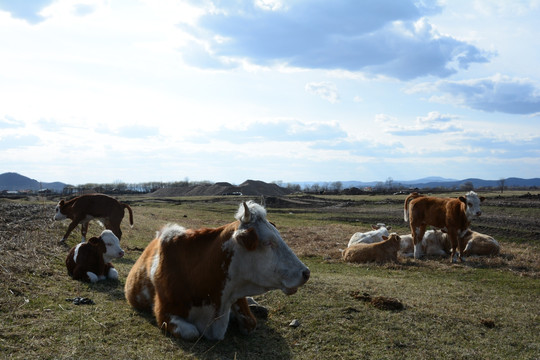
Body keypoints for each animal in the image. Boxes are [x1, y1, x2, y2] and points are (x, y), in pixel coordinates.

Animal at [124, 201, 310, 342]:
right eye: (268, 242)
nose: (306, 273)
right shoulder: (164, 313)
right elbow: (192, 332)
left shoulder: (235, 296)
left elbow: (250, 322)